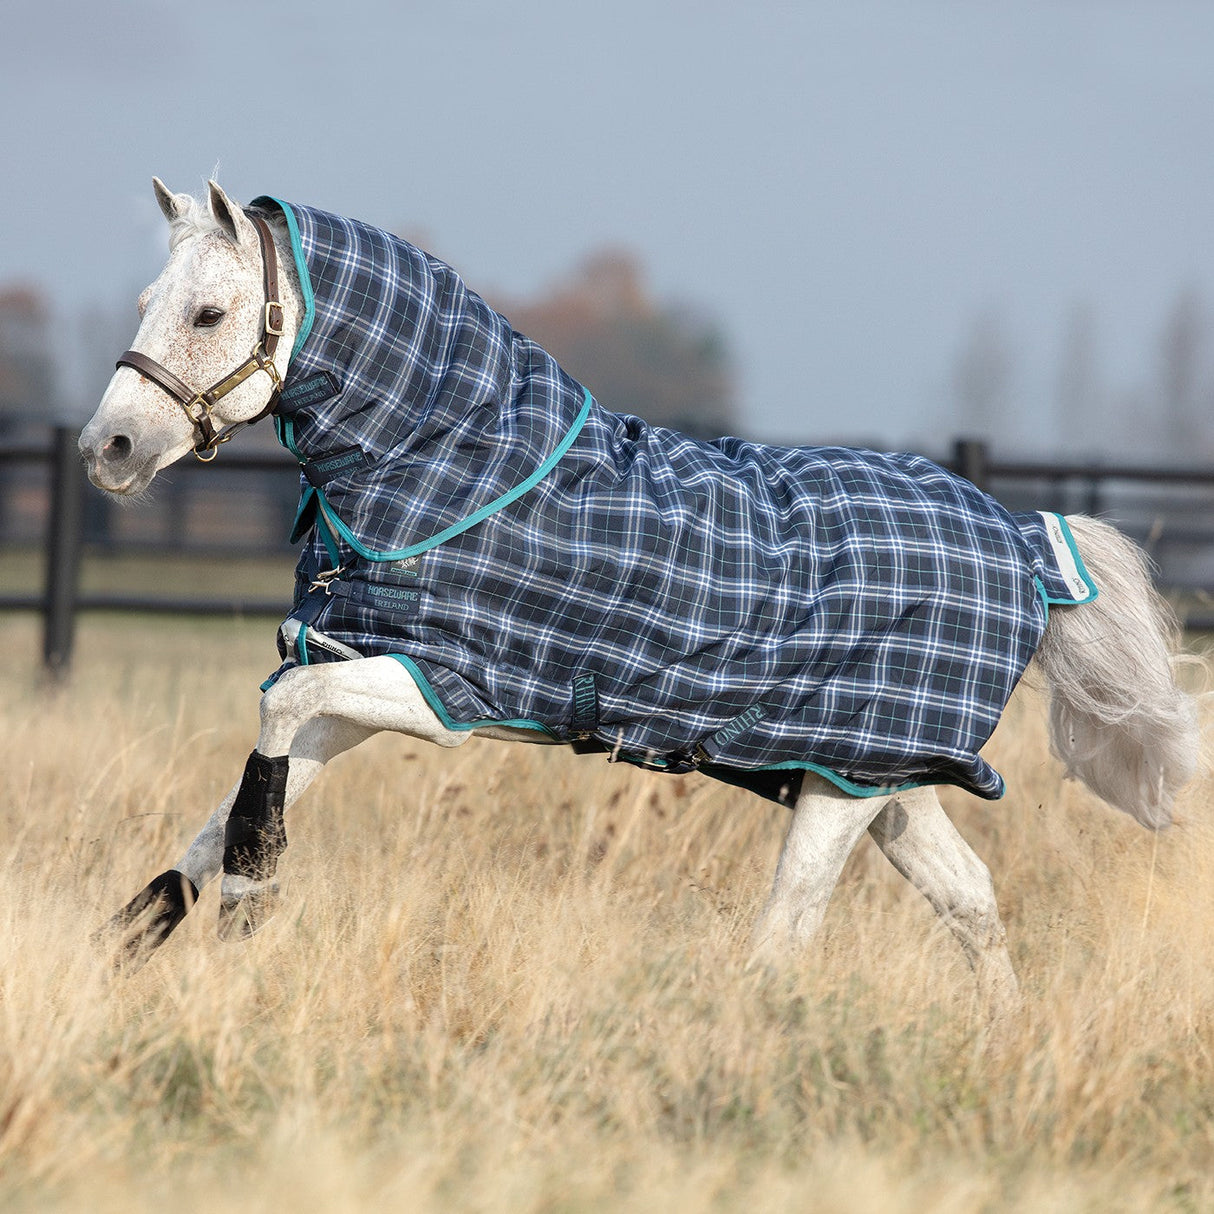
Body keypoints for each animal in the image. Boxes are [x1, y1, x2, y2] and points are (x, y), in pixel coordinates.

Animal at [79, 180, 1200, 1014]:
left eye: (210, 313)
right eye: (144, 305)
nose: (109, 450)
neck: (461, 467)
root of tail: (1022, 536)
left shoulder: (438, 690)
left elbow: (270, 735)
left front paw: (252, 905)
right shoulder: (359, 674)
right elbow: (225, 805)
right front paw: (113, 953)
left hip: (845, 786)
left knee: (788, 930)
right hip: (875, 776)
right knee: (966, 900)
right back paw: (1003, 1038)